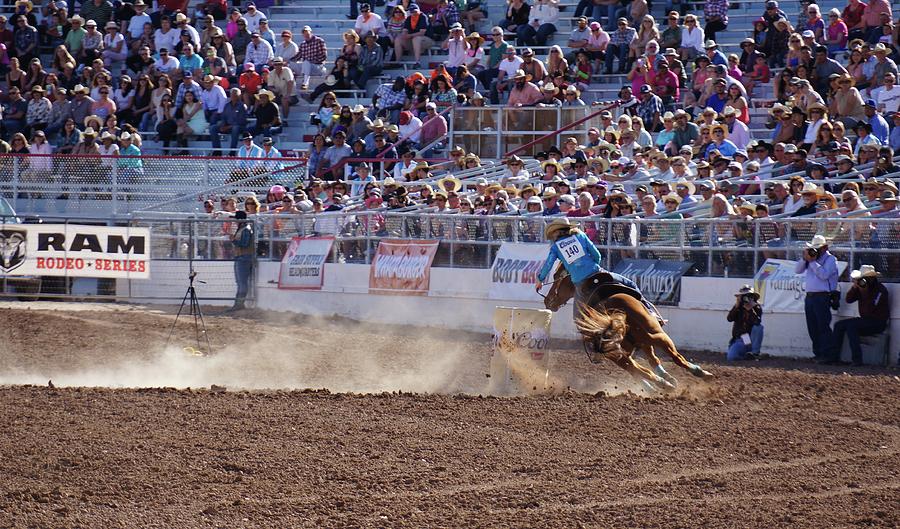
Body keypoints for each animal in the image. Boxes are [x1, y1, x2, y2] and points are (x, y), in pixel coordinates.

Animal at [540, 266, 712, 390]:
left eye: (556, 277)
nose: (548, 300)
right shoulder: (642, 343)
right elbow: (651, 360)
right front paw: (666, 378)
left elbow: (650, 362)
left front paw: (665, 378)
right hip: (650, 335)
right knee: (670, 359)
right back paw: (694, 375)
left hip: (622, 352)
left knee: (640, 370)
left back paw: (663, 383)